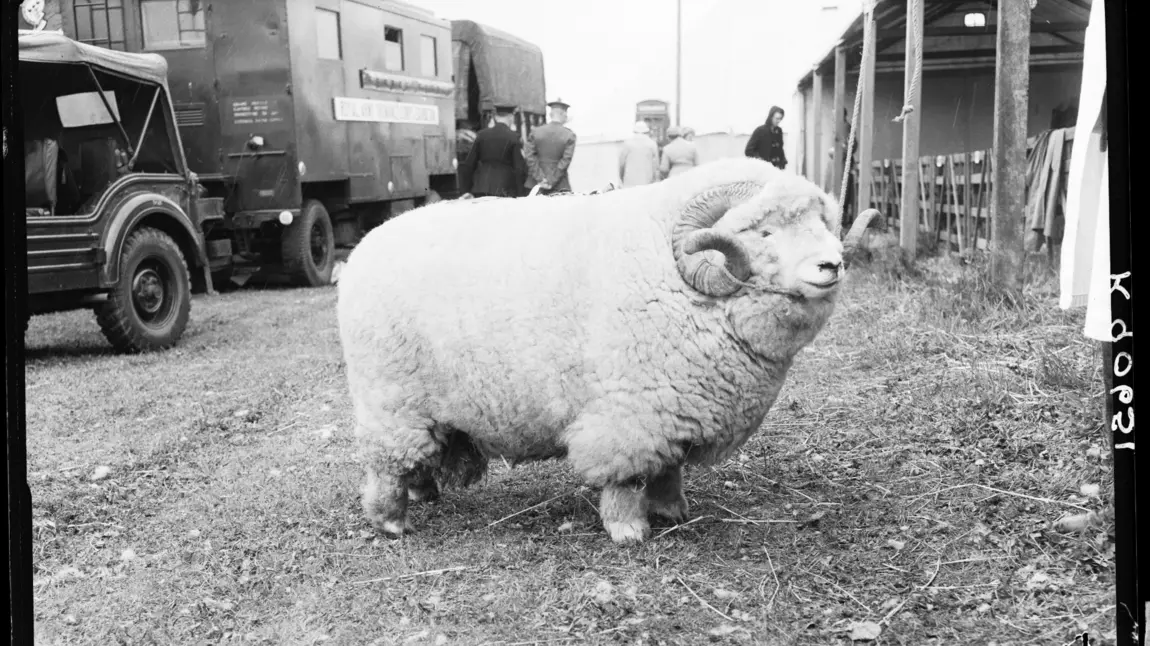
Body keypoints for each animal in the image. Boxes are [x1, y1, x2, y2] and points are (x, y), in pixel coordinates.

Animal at [337, 157, 876, 544]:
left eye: (821, 221)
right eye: (764, 232)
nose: (832, 264)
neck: (675, 274)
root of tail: (364, 246)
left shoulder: (674, 406)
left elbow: (669, 469)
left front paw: (672, 510)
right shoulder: (632, 412)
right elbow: (626, 478)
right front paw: (628, 529)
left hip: (423, 407)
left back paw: (425, 492)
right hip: (390, 398)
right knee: (385, 463)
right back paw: (391, 520)